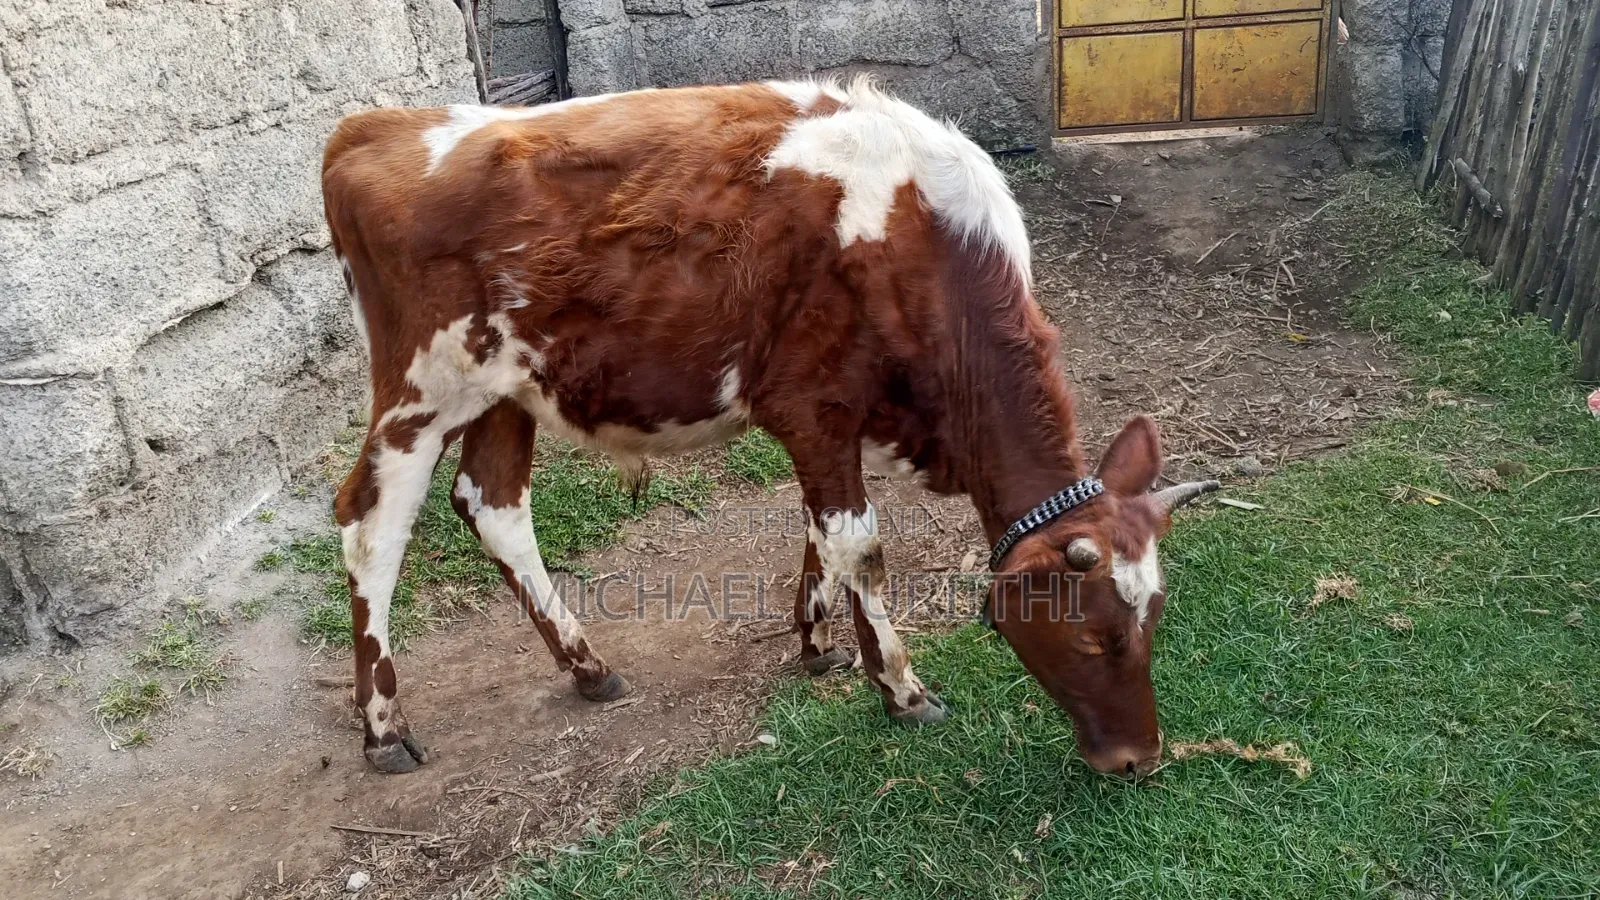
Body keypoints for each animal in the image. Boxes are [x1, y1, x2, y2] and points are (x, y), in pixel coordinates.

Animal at [320, 78, 1217, 777]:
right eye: (1095, 638)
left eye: (1155, 620)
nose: (1139, 759)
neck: (924, 245)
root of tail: (371, 129)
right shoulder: (813, 406)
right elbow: (859, 543)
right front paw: (900, 687)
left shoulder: (841, 420)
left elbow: (823, 533)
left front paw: (817, 643)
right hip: (422, 388)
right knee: (371, 524)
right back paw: (384, 728)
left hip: (507, 389)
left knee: (493, 504)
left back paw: (588, 667)